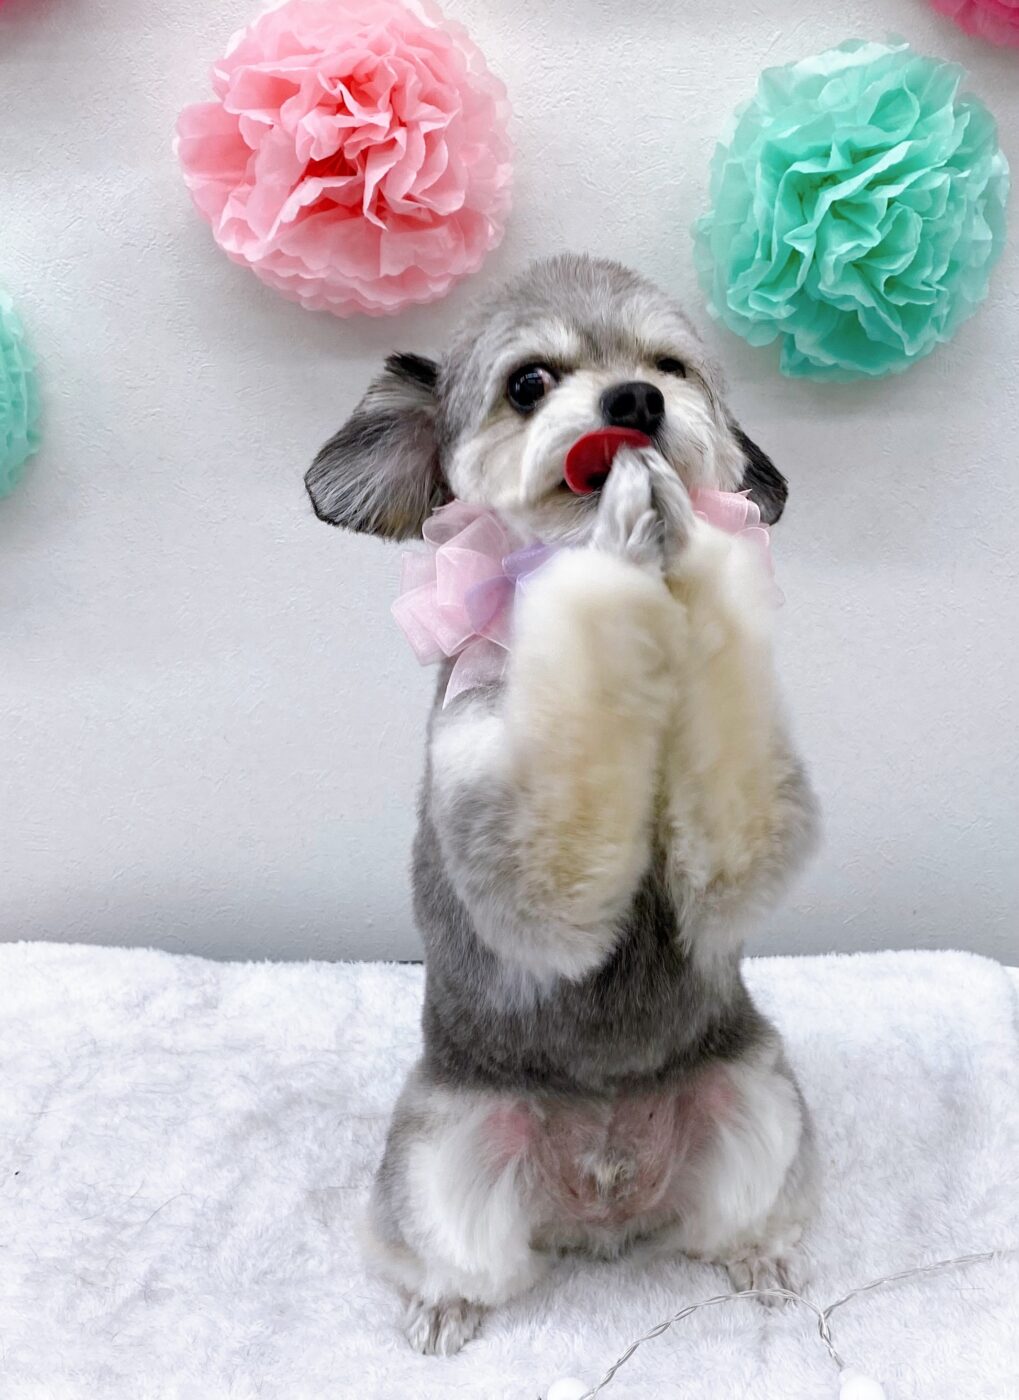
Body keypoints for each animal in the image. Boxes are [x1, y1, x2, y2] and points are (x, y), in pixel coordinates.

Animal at [306, 254, 820, 1356]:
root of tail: (603, 1199)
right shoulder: (503, 796)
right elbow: (548, 870)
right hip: (442, 1142)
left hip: (754, 1091)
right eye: (530, 383)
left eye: (668, 366)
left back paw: (760, 1255)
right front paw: (623, 539)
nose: (634, 403)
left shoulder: (739, 816)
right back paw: (444, 1302)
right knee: (456, 1249)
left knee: (739, 1209)